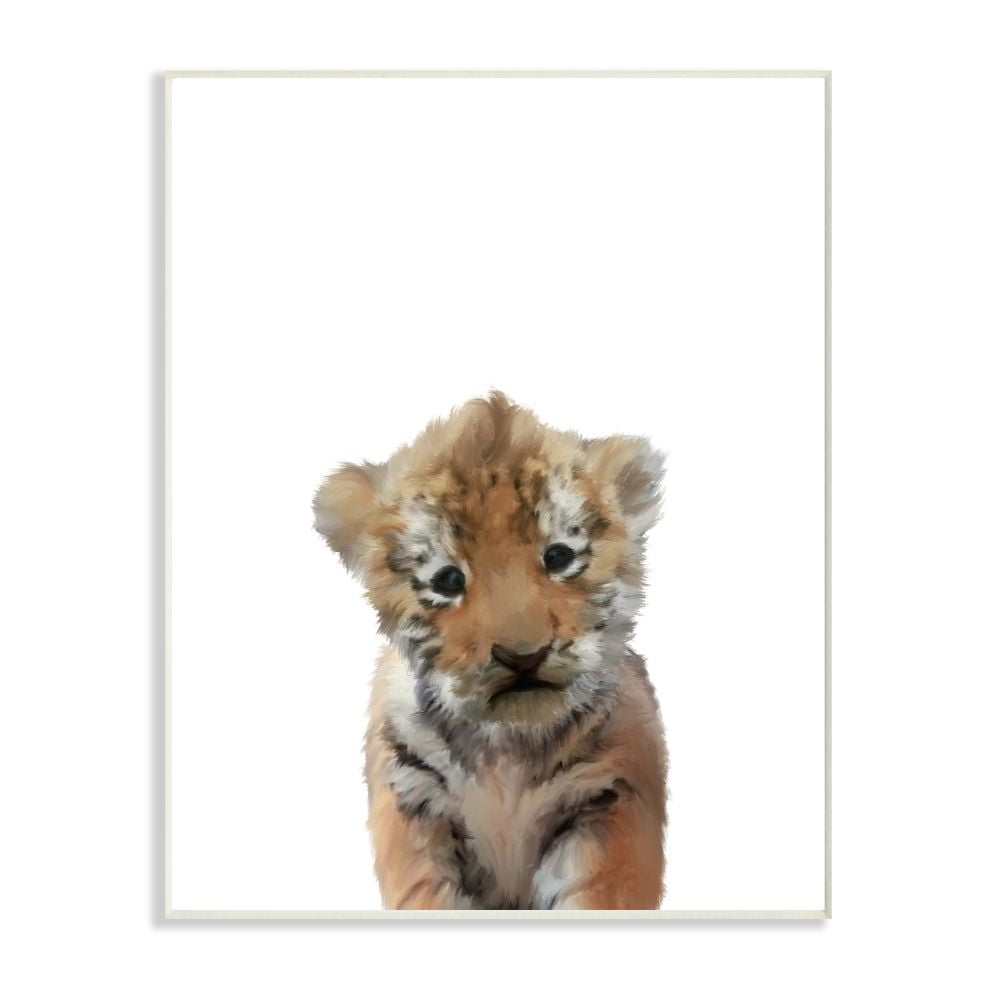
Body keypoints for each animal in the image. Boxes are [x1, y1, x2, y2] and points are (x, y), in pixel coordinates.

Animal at [313, 391, 667, 909]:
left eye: (558, 557)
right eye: (448, 580)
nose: (523, 655)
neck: (508, 752)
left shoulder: (609, 798)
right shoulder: (414, 803)